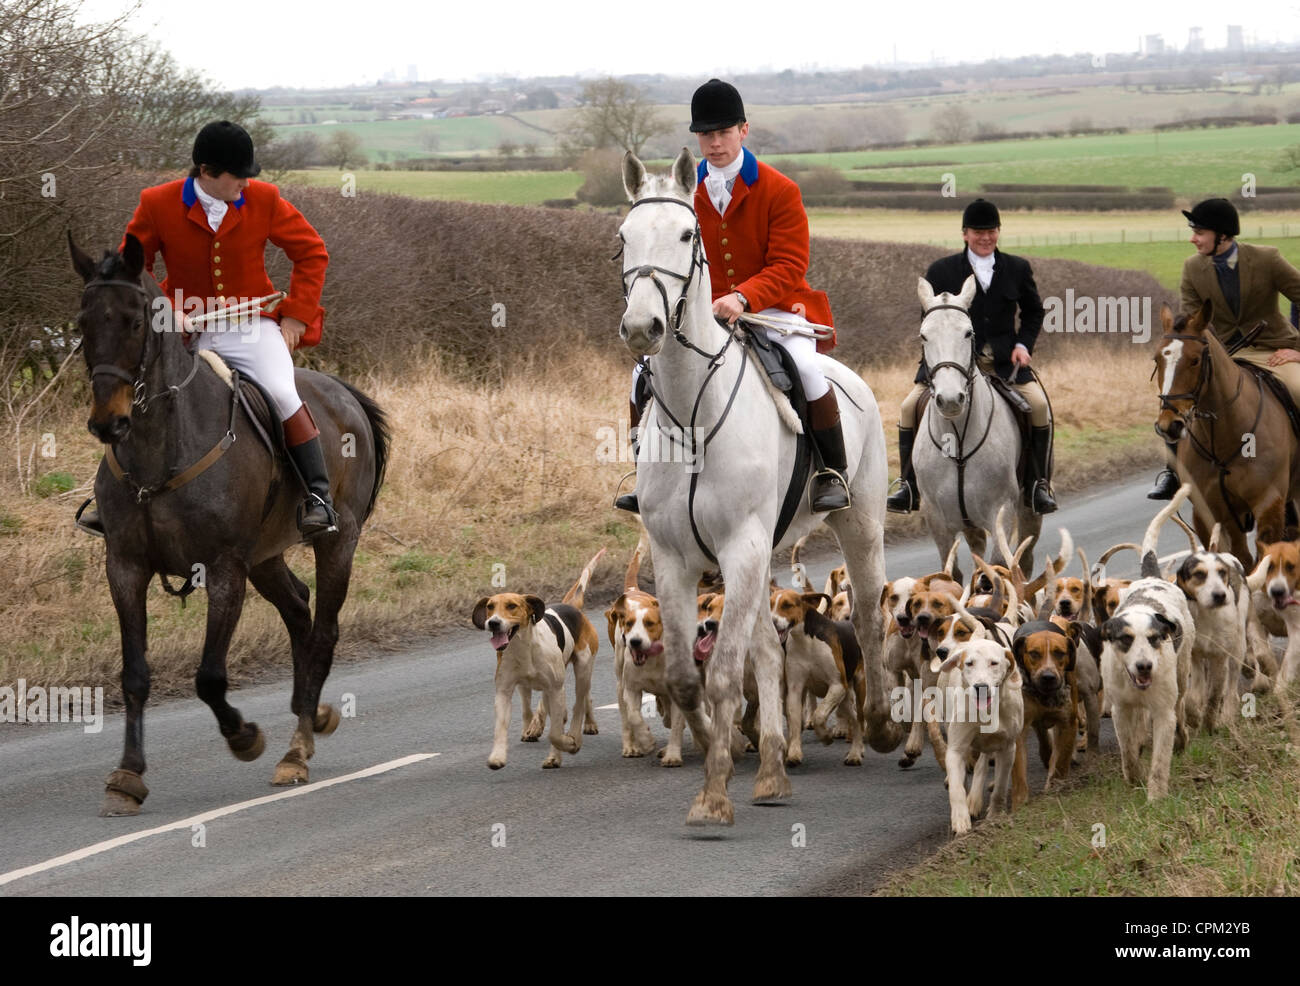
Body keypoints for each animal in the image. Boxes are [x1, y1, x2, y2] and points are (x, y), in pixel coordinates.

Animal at [70, 234, 387, 816]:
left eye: (133, 321)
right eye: (83, 322)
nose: (108, 423)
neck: (160, 444)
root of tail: (341, 391)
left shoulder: (222, 569)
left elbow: (210, 678)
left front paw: (244, 736)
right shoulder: (124, 567)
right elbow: (134, 674)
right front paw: (127, 777)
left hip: (336, 543)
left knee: (323, 630)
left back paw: (296, 750)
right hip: (264, 556)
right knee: (298, 611)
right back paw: (310, 712)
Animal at [613, 148, 899, 827]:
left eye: (685, 235)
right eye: (623, 238)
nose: (642, 328)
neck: (694, 408)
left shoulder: (739, 546)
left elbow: (720, 674)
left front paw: (715, 792)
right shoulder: (675, 558)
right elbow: (688, 678)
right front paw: (733, 749)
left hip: (859, 526)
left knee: (868, 617)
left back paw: (878, 726)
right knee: (769, 645)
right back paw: (771, 766)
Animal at [909, 274, 1040, 582]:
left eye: (968, 333)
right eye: (924, 335)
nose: (950, 399)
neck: (957, 439)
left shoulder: (1002, 512)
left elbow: (997, 570)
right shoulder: (936, 518)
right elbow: (951, 575)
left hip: (1028, 510)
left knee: (1025, 559)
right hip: (968, 523)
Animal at [1154, 297, 1294, 567]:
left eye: (1195, 360)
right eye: (1157, 360)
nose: (1169, 425)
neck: (1221, 436)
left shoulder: (1269, 504)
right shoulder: (1210, 512)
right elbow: (1240, 561)